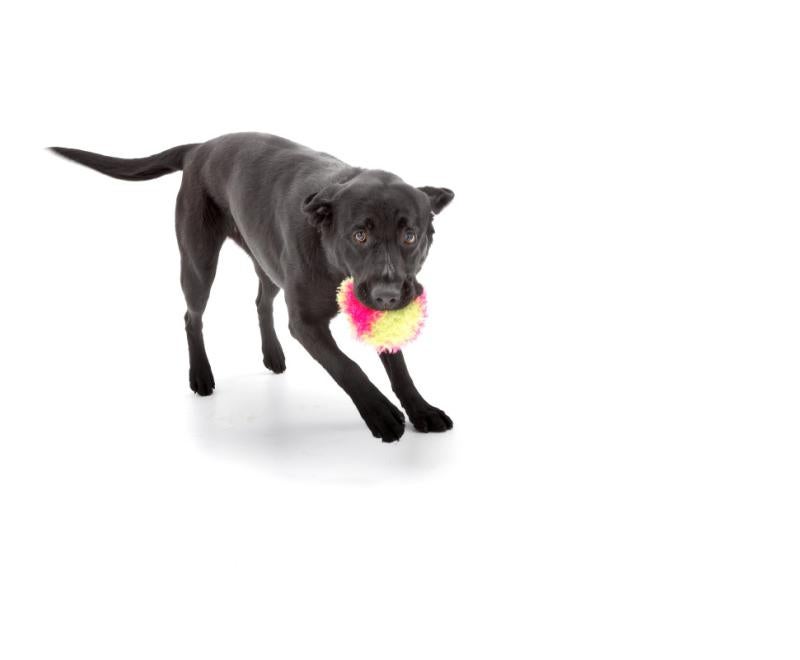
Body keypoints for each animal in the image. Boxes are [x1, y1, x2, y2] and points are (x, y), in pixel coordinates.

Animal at [53, 133, 456, 444]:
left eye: (410, 235)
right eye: (360, 235)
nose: (388, 295)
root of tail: (200, 147)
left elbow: (398, 367)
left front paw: (421, 409)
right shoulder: (306, 324)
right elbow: (348, 366)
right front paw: (380, 413)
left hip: (267, 261)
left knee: (262, 301)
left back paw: (272, 354)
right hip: (198, 265)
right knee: (192, 316)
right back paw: (200, 374)